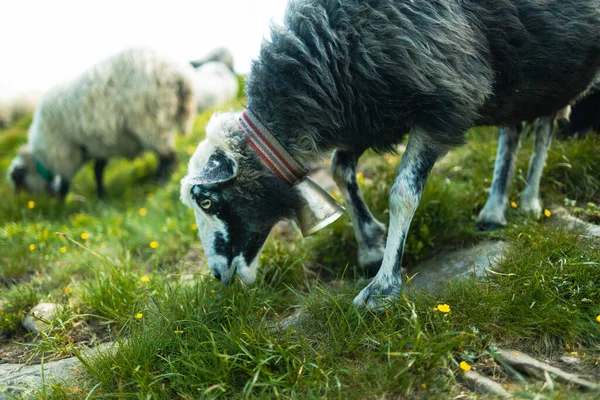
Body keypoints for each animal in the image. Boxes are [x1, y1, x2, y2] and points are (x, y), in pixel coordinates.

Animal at [8, 47, 196, 198]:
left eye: (19, 182)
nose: (48, 198)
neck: (43, 156)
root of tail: (178, 73)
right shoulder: (98, 146)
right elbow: (98, 170)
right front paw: (101, 195)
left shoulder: (65, 152)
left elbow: (69, 178)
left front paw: (62, 200)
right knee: (164, 153)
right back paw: (159, 177)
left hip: (150, 120)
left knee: (167, 154)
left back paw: (163, 180)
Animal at [179, 0, 600, 310]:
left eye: (206, 200)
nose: (216, 275)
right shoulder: (368, 112)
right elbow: (340, 168)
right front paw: (369, 246)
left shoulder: (445, 100)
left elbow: (403, 193)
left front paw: (382, 287)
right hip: (519, 83)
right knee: (512, 130)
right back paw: (494, 210)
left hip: (556, 73)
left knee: (544, 128)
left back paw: (529, 202)